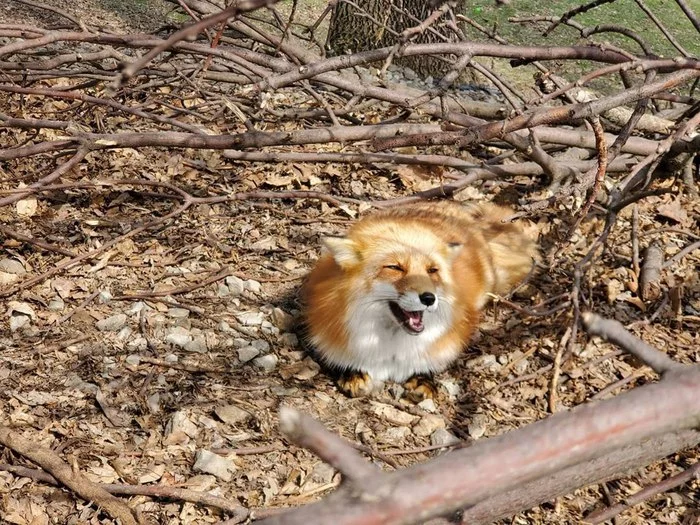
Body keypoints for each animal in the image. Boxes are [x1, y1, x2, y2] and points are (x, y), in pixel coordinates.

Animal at [300, 201, 536, 402]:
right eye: (394, 267)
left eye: (432, 270)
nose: (429, 298)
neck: (390, 348)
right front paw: (353, 374)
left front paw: (424, 379)